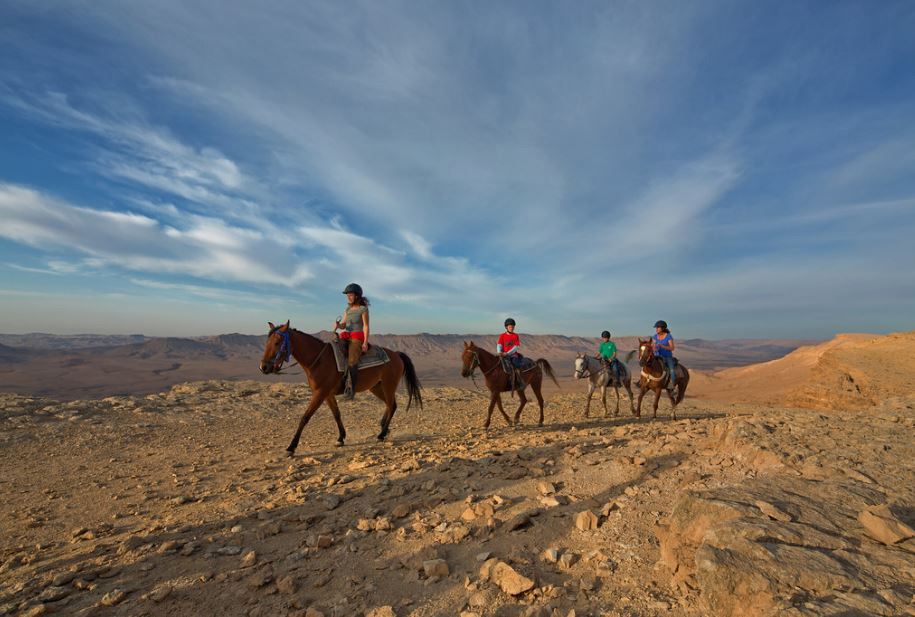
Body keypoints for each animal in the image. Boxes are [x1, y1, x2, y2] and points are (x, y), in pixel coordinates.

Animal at [260, 320, 424, 454]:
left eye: (277, 342)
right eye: (267, 342)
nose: (264, 367)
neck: (319, 360)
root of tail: (396, 354)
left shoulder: (320, 393)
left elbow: (305, 417)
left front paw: (291, 447)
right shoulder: (327, 394)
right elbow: (336, 414)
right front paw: (340, 438)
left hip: (389, 385)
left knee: (392, 405)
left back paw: (382, 434)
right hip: (376, 387)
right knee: (389, 405)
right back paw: (384, 427)